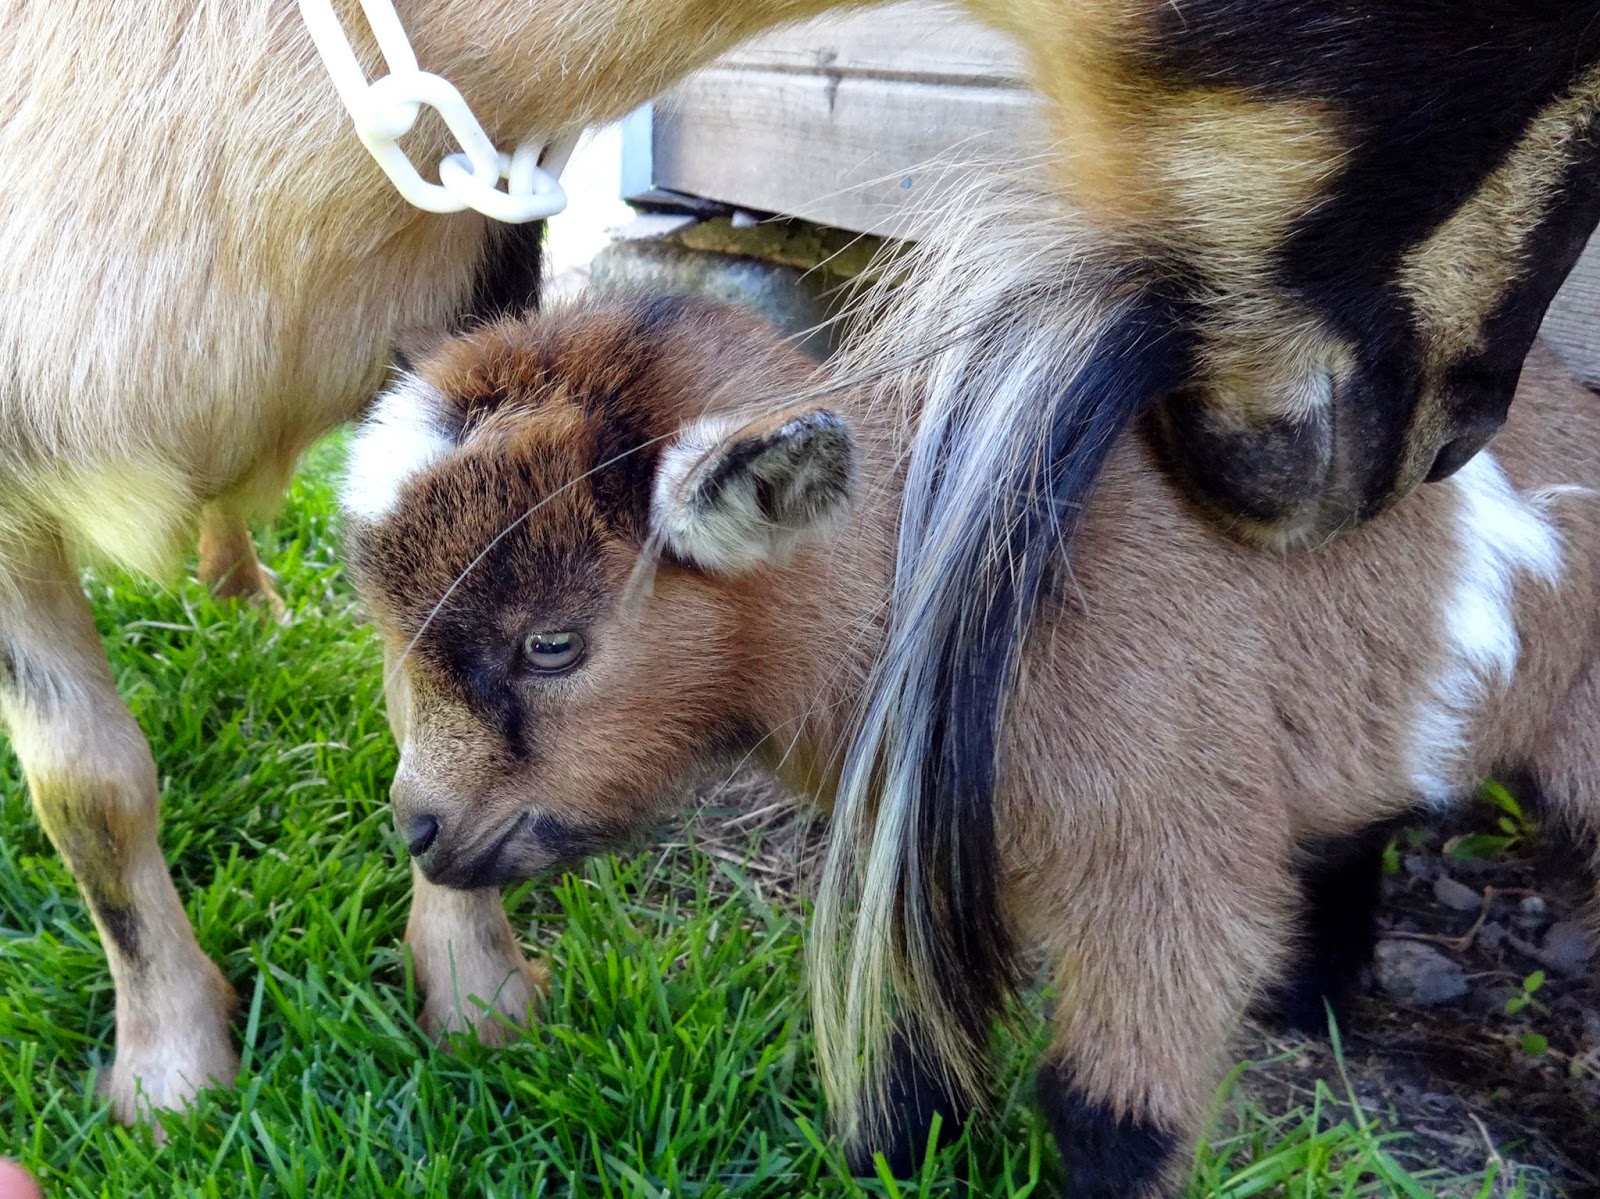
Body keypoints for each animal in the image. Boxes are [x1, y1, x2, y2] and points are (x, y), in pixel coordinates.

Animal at [344, 294, 1600, 1198]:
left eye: (553, 642)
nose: (422, 827)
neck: (961, 585)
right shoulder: (923, 845)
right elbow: (915, 1042)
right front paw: (895, 1160)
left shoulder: (1166, 855)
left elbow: (1110, 1113)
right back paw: (1310, 1001)